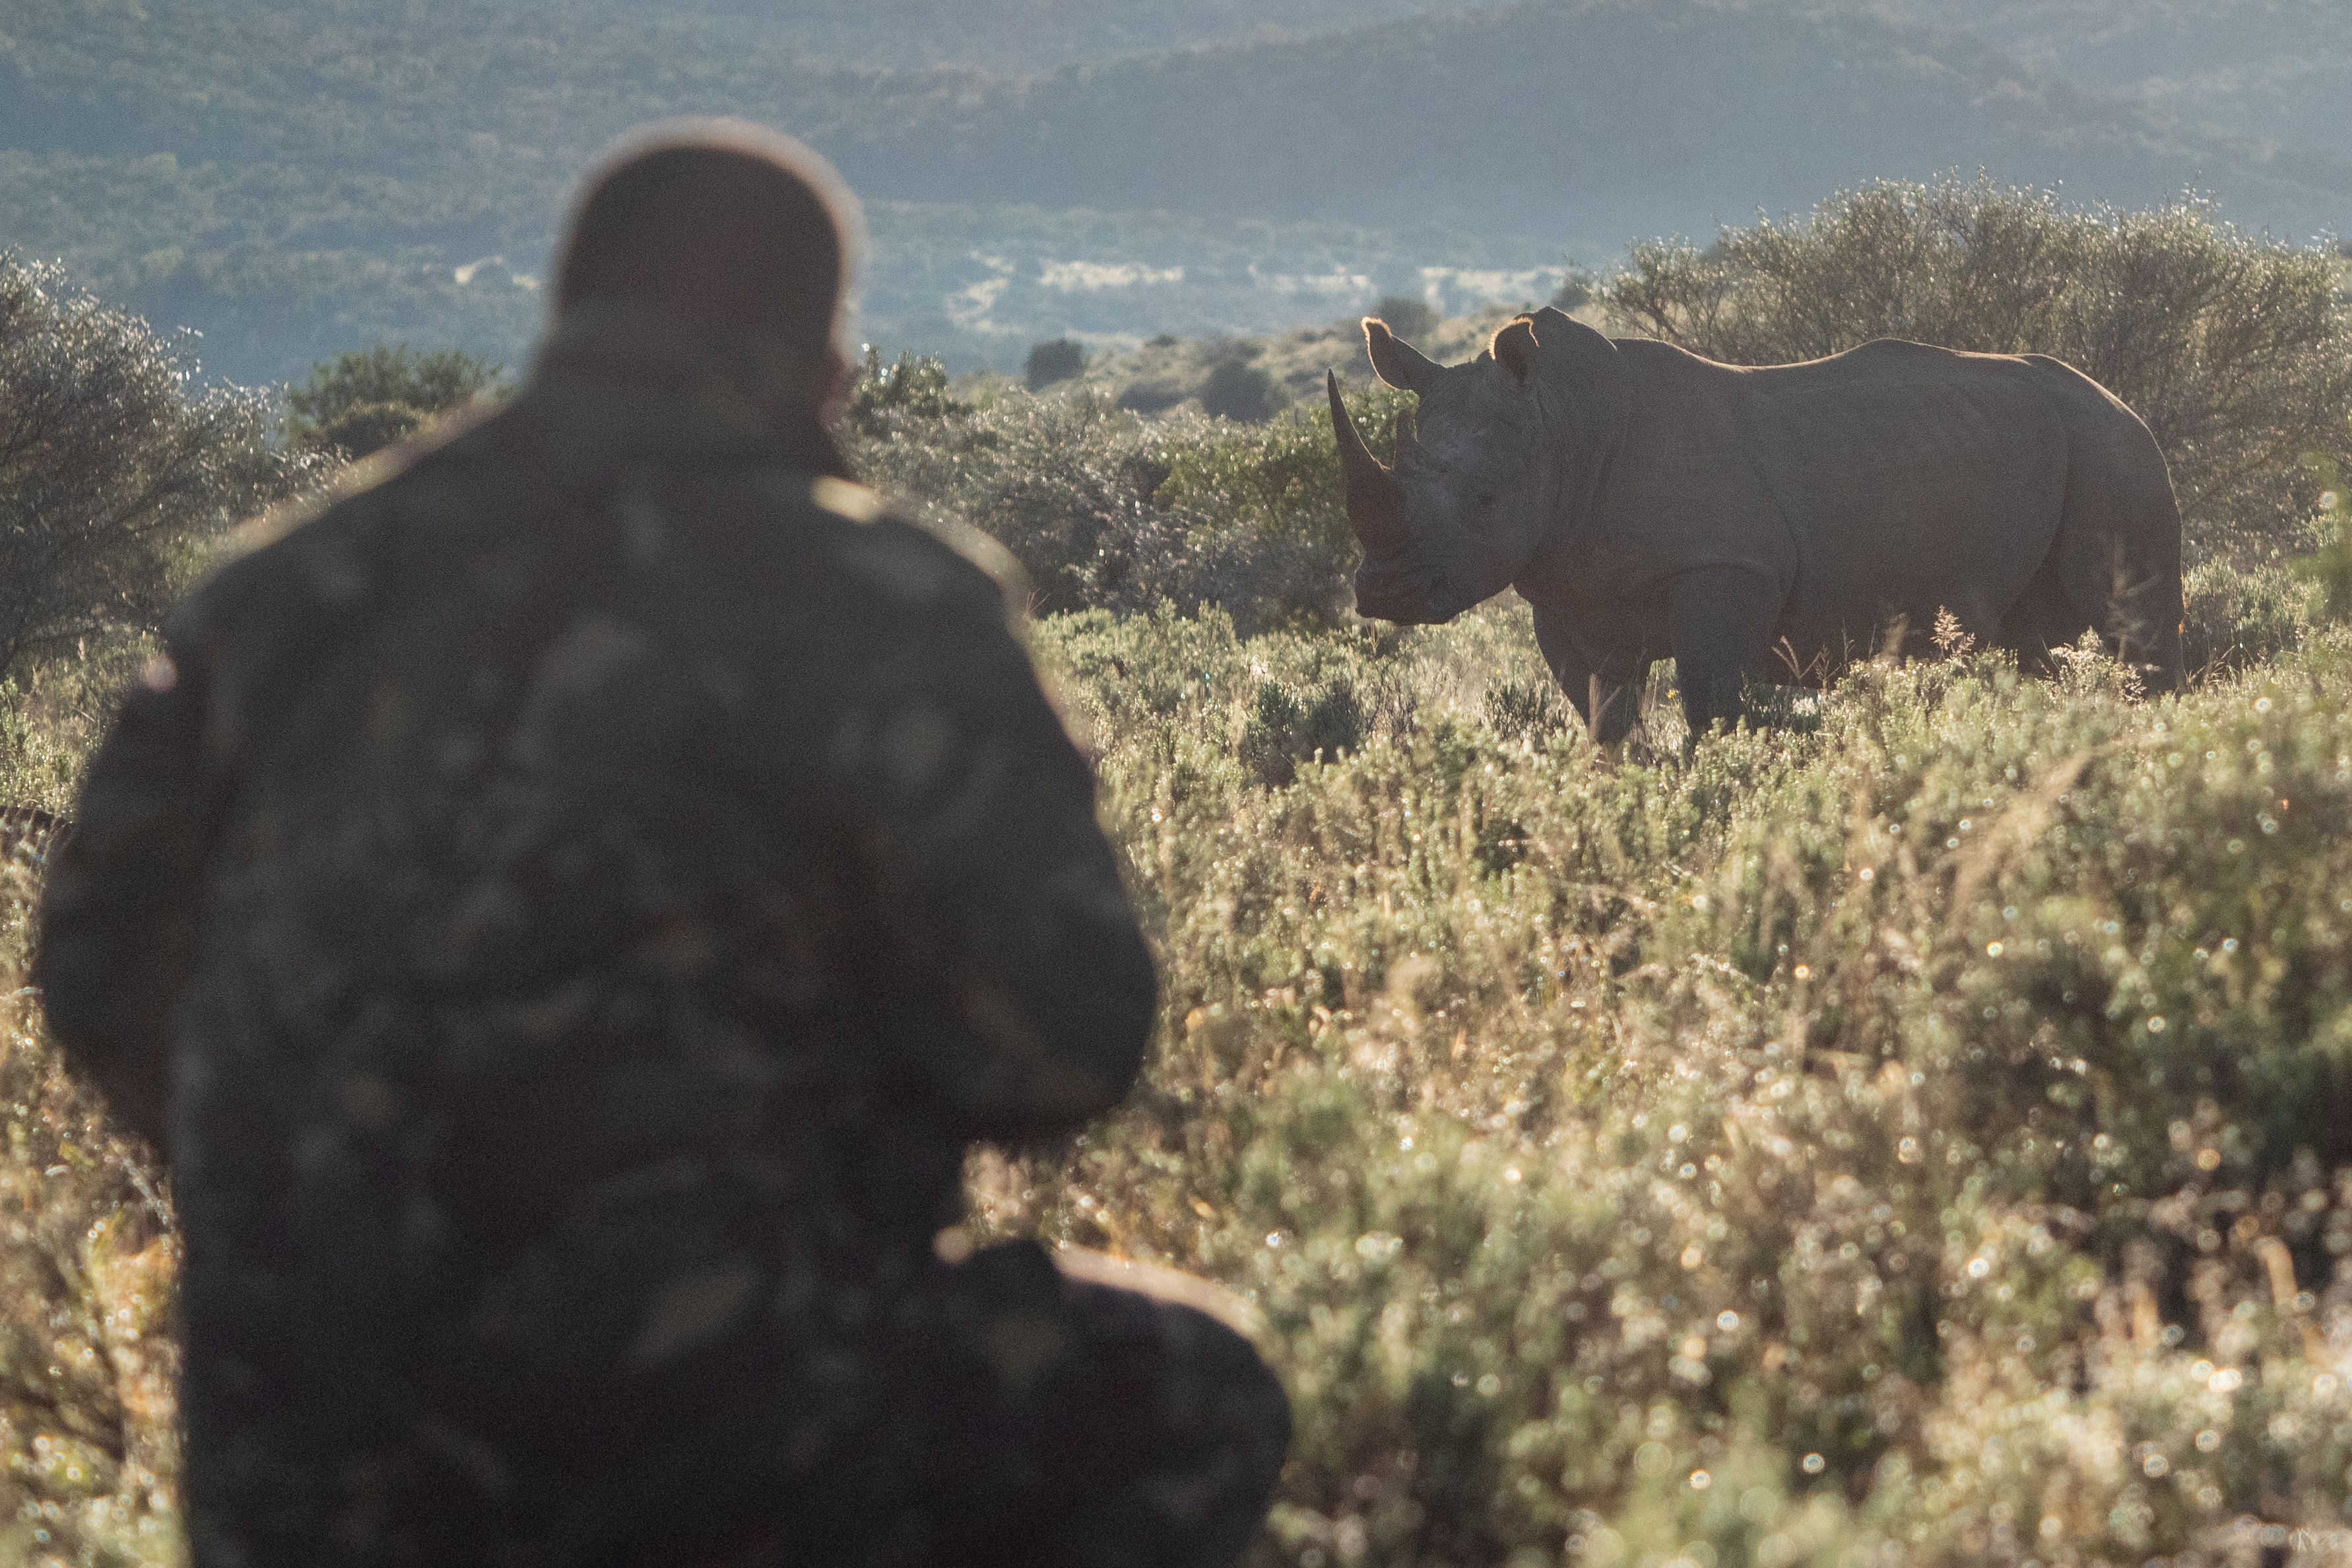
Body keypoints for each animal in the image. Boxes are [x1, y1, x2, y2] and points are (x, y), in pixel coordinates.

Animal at [1327, 306, 2184, 741]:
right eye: (1405, 472)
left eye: (1485, 499)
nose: (1386, 593)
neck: (1560, 426)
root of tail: (2124, 402)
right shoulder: (1565, 591)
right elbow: (1603, 717)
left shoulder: (1726, 567)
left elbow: (1709, 702)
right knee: (2031, 649)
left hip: (2116, 454)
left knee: (2131, 635)